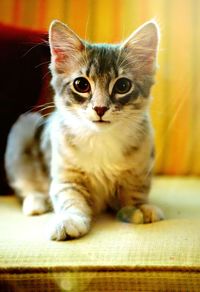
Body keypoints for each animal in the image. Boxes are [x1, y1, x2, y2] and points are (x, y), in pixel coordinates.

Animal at [4, 19, 164, 241]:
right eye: (81, 84)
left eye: (123, 86)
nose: (100, 108)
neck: (101, 139)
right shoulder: (66, 177)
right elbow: (69, 200)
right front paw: (68, 220)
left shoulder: (139, 169)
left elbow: (135, 191)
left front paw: (137, 208)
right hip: (22, 134)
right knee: (26, 188)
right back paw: (36, 203)